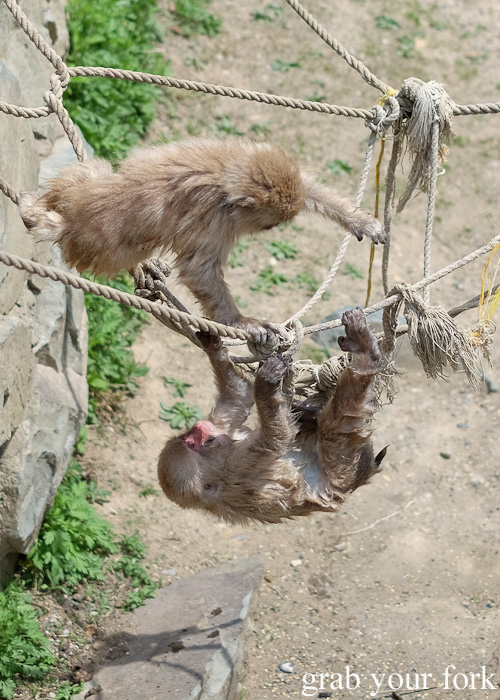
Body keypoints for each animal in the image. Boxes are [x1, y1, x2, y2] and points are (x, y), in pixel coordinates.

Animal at [19, 137, 384, 340]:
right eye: (268, 227)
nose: (269, 229)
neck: (226, 176)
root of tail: (72, 220)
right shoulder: (214, 217)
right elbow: (198, 268)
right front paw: (242, 322)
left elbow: (308, 188)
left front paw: (361, 222)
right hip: (96, 249)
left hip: (84, 196)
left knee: (90, 173)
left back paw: (37, 208)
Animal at [158, 308, 384, 524]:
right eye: (192, 443)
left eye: (192, 435)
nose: (201, 427)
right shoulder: (235, 465)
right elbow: (276, 439)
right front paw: (265, 384)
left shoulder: (222, 432)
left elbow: (240, 398)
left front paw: (212, 345)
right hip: (342, 468)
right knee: (338, 420)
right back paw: (365, 353)